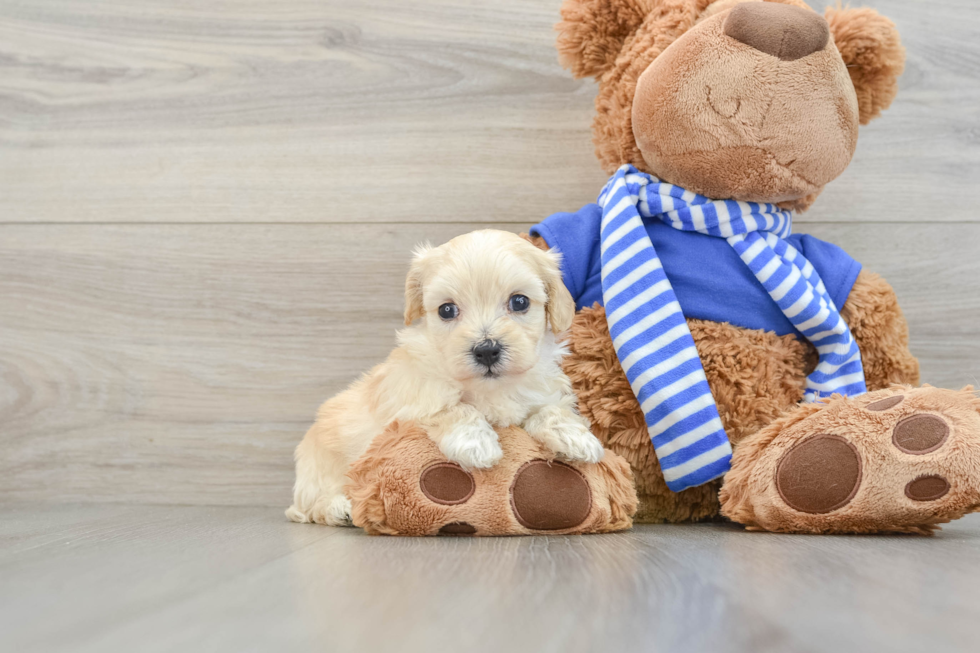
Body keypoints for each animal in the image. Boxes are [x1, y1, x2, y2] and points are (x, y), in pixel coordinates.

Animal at [286, 229, 604, 524]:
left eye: (520, 302)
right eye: (447, 310)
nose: (486, 350)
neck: (491, 387)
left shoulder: (542, 391)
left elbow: (551, 409)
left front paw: (575, 437)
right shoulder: (410, 405)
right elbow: (451, 408)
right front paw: (476, 444)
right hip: (319, 470)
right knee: (311, 505)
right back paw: (339, 508)